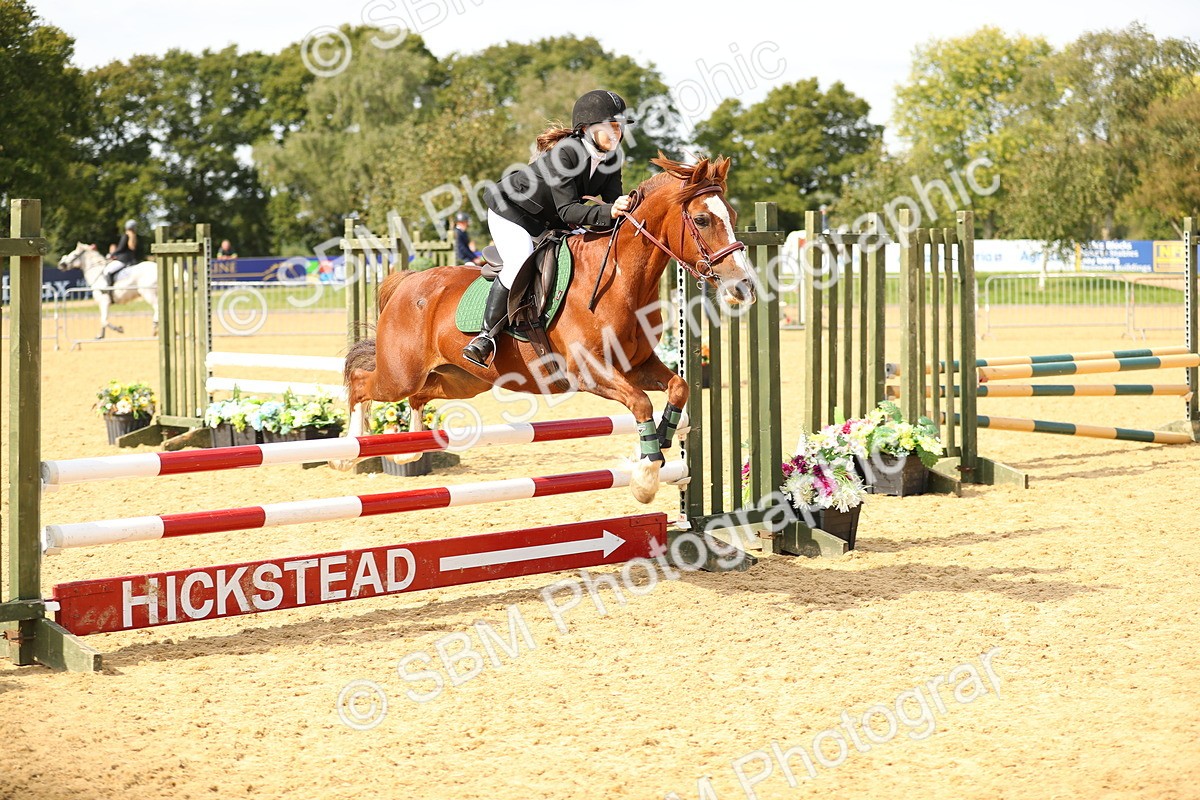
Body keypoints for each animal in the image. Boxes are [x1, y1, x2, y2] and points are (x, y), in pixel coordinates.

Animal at [331, 154, 757, 503]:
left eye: (733, 216)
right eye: (702, 219)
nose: (744, 287)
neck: (621, 280)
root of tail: (407, 281)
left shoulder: (636, 365)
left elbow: (679, 387)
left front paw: (658, 445)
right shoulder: (589, 371)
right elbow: (640, 403)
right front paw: (646, 477)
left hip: (461, 380)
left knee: (419, 396)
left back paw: (408, 450)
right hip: (400, 373)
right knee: (363, 382)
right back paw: (347, 452)